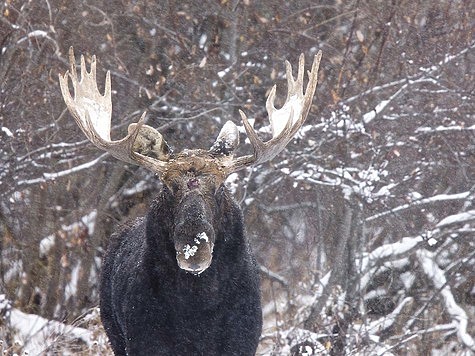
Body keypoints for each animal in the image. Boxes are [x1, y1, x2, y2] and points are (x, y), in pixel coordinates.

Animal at [58, 48, 320, 356]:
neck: (198, 310)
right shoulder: (144, 342)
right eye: (167, 186)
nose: (194, 248)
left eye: (221, 187)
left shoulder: (242, 341)